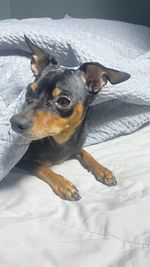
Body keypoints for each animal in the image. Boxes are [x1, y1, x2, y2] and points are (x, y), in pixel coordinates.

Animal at [9, 36, 131, 202]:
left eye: (63, 101)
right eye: (29, 92)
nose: (14, 122)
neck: (60, 141)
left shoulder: (75, 147)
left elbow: (85, 152)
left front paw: (103, 170)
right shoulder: (22, 161)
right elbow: (41, 166)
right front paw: (64, 185)